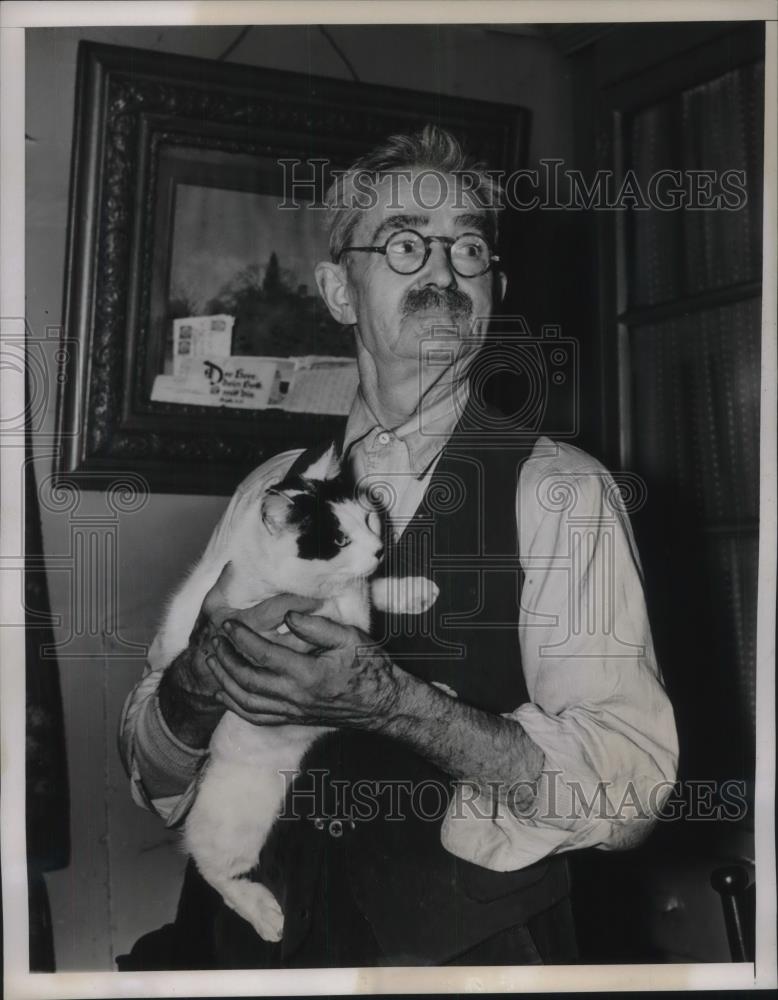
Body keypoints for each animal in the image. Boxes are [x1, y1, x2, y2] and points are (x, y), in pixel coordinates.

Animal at [150, 446, 436, 944]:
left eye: (368, 518)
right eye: (338, 540)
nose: (379, 549)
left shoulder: (356, 592)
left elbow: (368, 592)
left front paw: (411, 592)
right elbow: (341, 612)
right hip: (236, 823)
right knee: (213, 868)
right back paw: (265, 915)